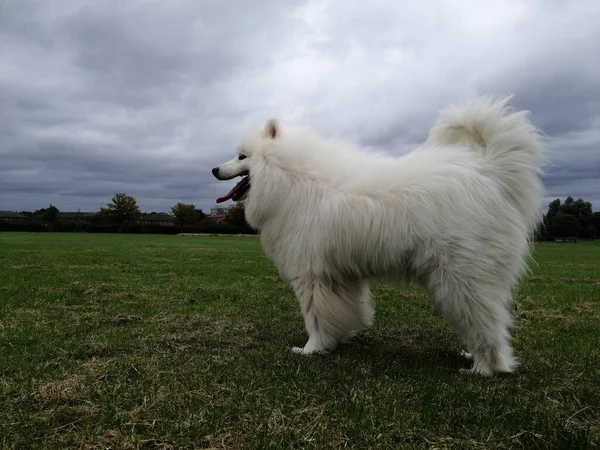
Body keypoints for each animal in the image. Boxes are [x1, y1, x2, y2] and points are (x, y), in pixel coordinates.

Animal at [212, 96, 544, 374]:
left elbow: (315, 319)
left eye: (241, 156)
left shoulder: (312, 276)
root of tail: (490, 172)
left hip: (461, 280)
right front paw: (338, 341)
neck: (292, 178)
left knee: (487, 327)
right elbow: (344, 313)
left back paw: (482, 369)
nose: (215, 169)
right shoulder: (341, 277)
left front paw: (311, 350)